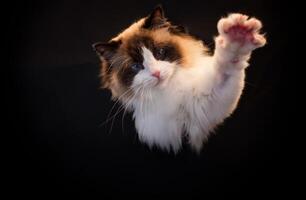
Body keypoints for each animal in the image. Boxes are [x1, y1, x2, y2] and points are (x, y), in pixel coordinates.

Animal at [92, 5, 266, 153]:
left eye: (159, 53)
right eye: (136, 66)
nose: (156, 73)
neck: (168, 93)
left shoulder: (205, 107)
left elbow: (226, 68)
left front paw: (237, 37)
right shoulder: (163, 130)